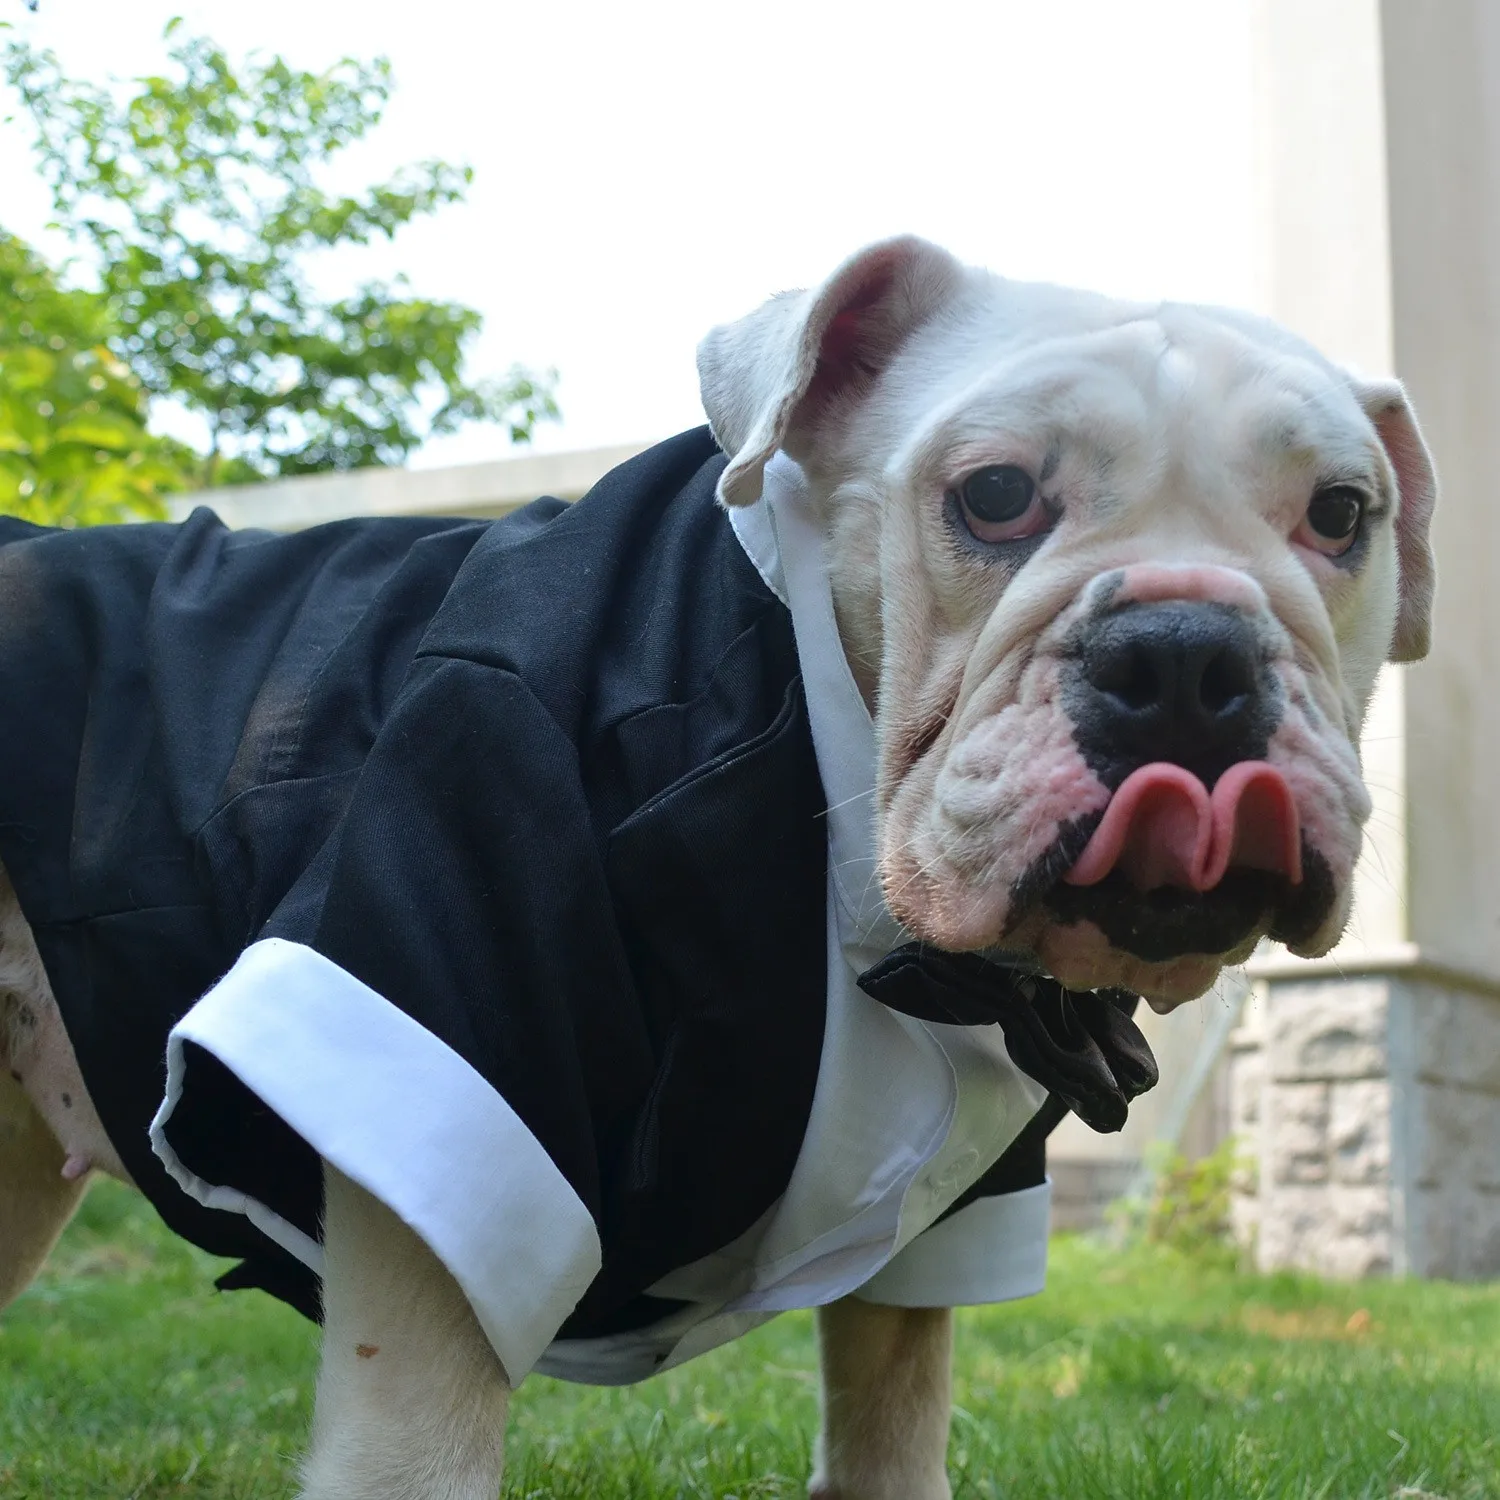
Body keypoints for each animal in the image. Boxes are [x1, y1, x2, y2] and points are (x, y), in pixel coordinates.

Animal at [0, 237, 1428, 1500]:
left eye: (1342, 515)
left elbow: (891, 1424)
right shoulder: (449, 1037)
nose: (1186, 653)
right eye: (994, 496)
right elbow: (416, 1446)